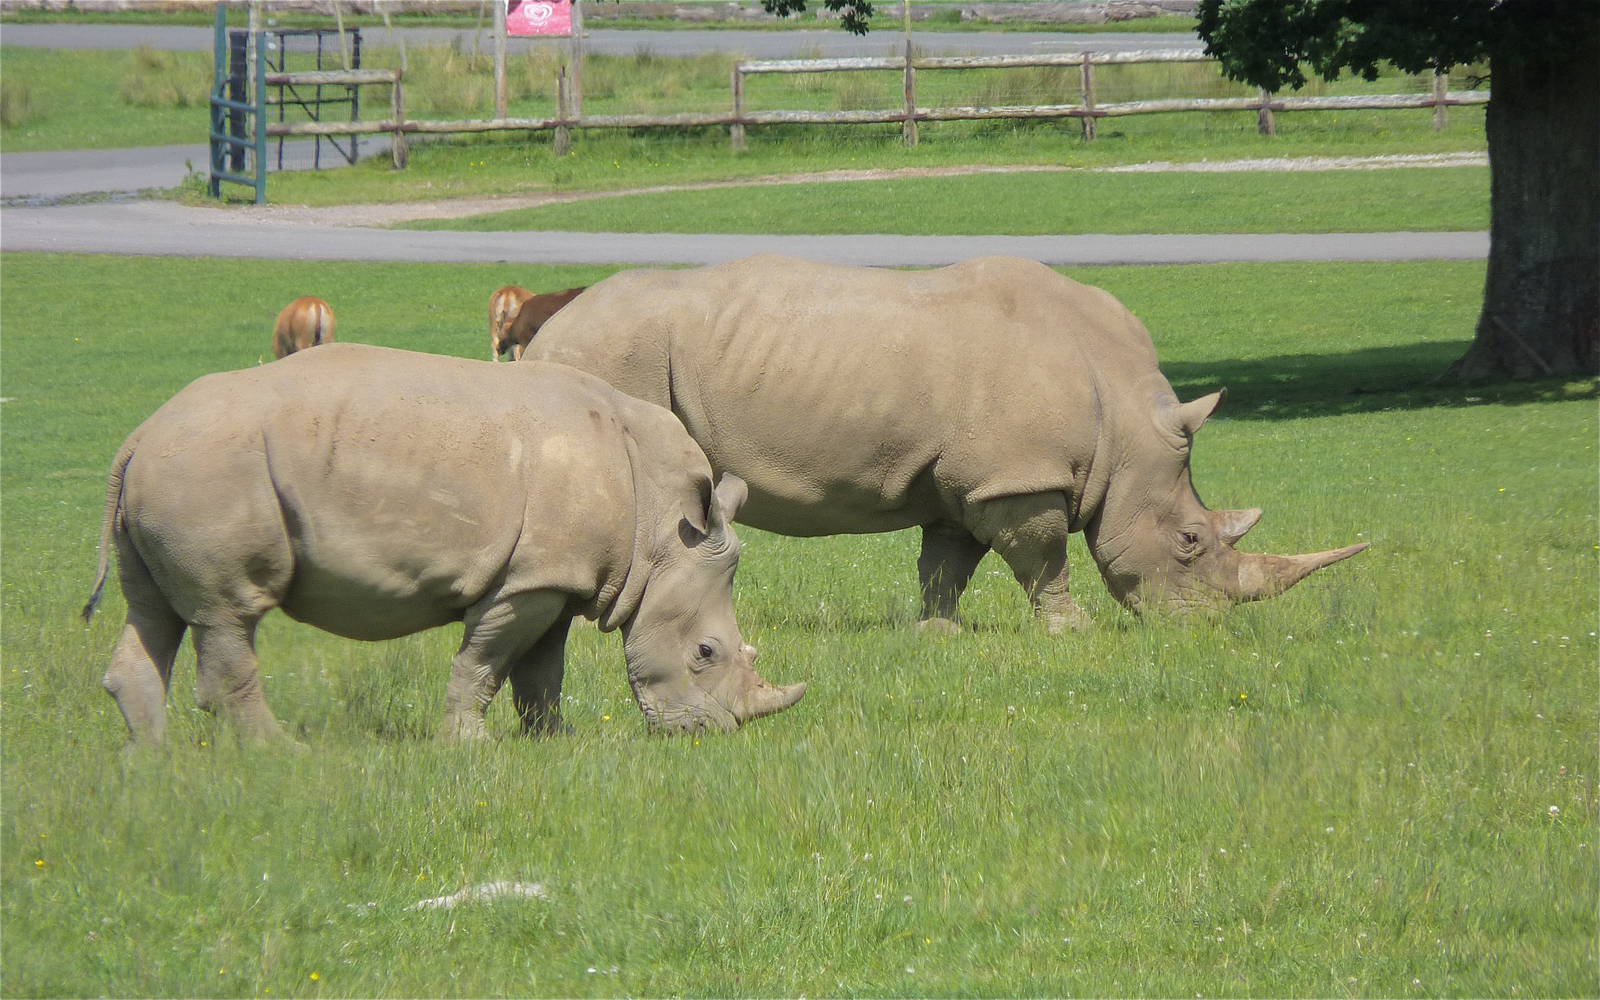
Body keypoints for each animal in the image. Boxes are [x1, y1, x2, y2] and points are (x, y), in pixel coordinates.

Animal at [83, 343, 805, 745]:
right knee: (229, 613)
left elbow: (541, 670)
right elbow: (487, 661)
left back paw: (153, 763)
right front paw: (469, 747)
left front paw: (554, 742)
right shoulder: (526, 581)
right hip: (209, 473)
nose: (709, 735)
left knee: (155, 611)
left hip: (174, 475)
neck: (661, 531)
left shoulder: (555, 574)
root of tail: (137, 437)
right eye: (706, 653)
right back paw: (280, 754)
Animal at [524, 255, 1366, 631]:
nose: (1204, 624)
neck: (1123, 420)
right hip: (612, 356)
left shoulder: (966, 480)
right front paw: (1070, 631)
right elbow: (1043, 555)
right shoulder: (1018, 476)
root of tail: (544, 333)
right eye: (1190, 541)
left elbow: (946, 563)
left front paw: (937, 634)